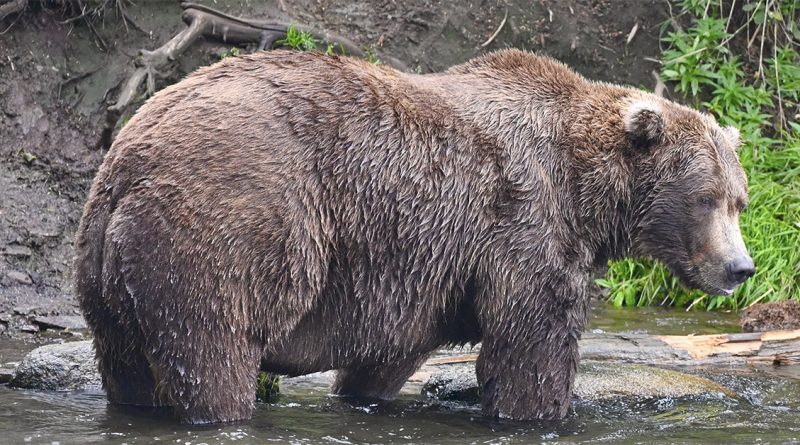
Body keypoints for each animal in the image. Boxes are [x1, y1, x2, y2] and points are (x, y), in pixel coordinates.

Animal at [74, 49, 754, 424]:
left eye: (739, 200)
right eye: (705, 199)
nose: (740, 268)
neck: (588, 188)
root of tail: (130, 157)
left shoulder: (424, 269)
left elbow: (390, 354)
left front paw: (365, 394)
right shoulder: (525, 223)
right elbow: (533, 344)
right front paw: (538, 411)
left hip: (106, 268)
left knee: (128, 367)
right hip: (226, 227)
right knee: (212, 350)